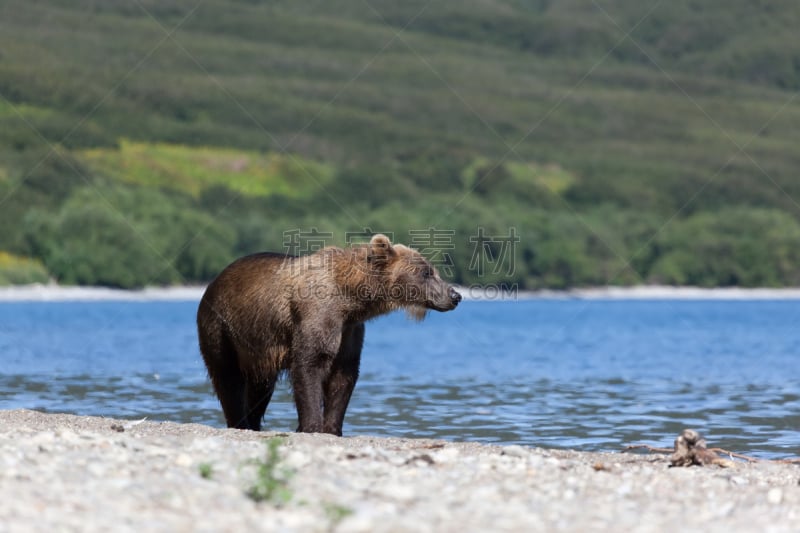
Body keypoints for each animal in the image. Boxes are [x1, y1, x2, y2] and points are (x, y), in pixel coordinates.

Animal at [195, 233, 462, 432]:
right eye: (427, 272)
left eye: (433, 270)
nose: (455, 295)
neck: (350, 297)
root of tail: (213, 282)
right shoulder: (317, 313)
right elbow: (310, 363)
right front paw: (311, 426)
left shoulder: (349, 329)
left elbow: (343, 374)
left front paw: (333, 428)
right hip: (222, 327)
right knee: (228, 377)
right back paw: (239, 422)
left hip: (257, 346)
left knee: (260, 385)